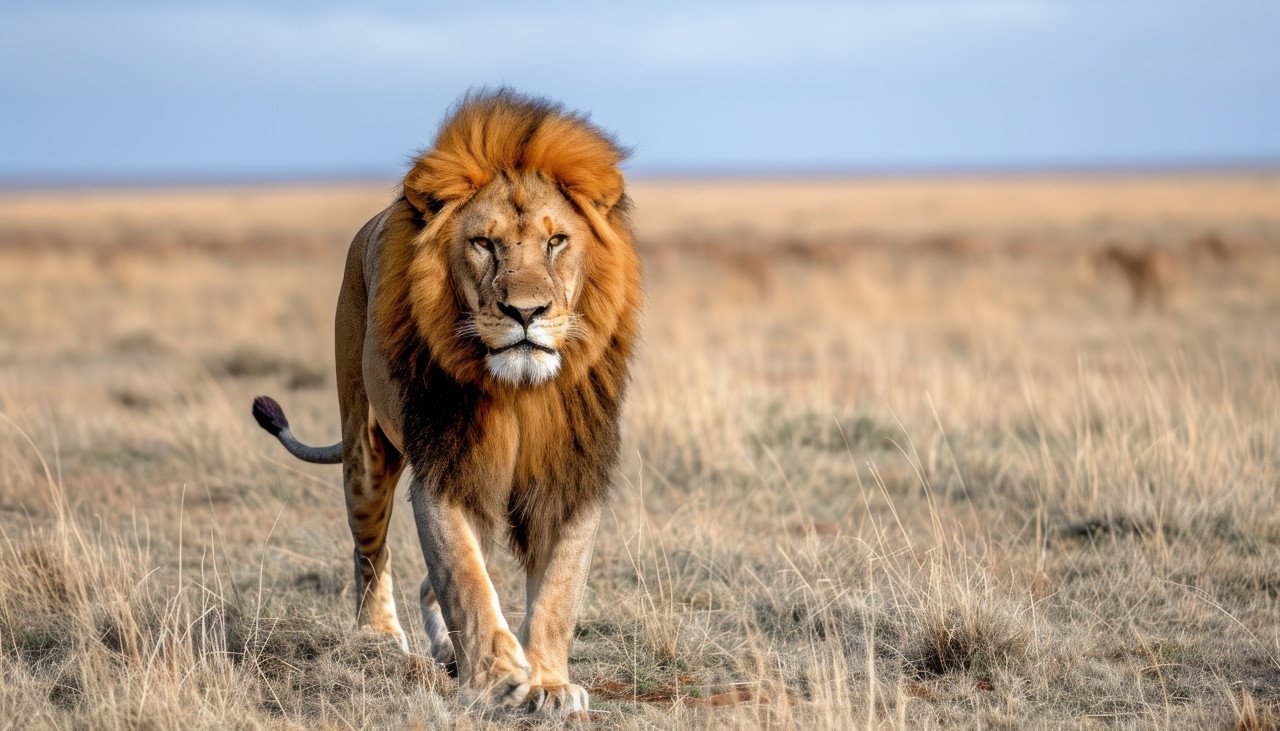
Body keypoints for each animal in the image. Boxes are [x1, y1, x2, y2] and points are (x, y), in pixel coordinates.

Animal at [250, 89, 641, 715]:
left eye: (556, 241)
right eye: (484, 243)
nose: (526, 312)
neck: (519, 392)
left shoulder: (569, 472)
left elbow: (558, 593)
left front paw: (549, 683)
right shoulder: (445, 465)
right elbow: (466, 580)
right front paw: (499, 681)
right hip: (365, 451)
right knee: (370, 554)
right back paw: (379, 640)